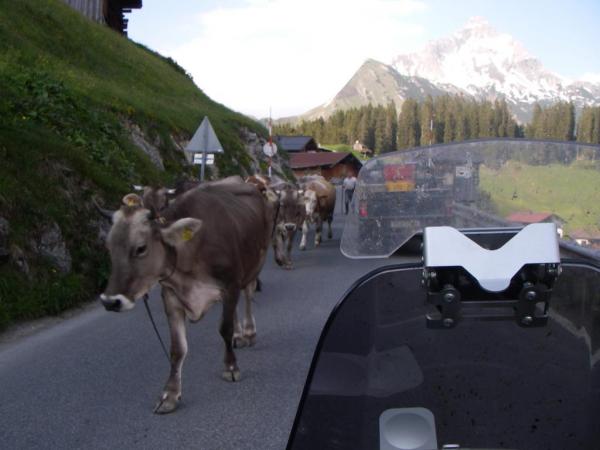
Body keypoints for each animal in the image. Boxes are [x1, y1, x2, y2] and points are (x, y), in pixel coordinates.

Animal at [99, 181, 272, 414]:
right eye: (108, 247)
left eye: (141, 248)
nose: (110, 301)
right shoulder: (171, 297)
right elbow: (177, 349)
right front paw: (170, 395)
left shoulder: (230, 284)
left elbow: (224, 329)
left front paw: (231, 367)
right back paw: (239, 335)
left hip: (253, 266)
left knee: (247, 295)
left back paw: (249, 333)